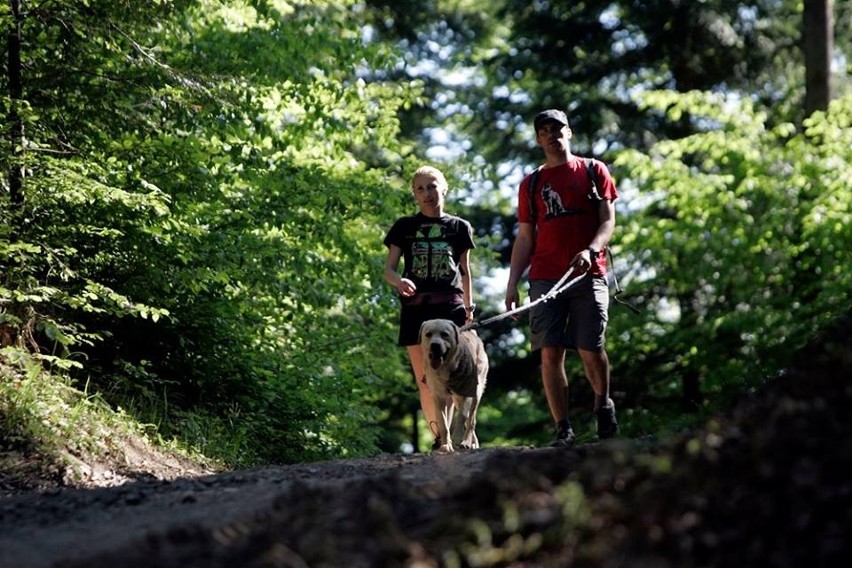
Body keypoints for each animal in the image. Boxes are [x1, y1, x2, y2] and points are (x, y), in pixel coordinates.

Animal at [418, 320, 490, 452]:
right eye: (428, 334)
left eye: (445, 334)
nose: (435, 345)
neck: (445, 368)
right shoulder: (439, 396)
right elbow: (443, 423)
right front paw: (446, 445)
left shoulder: (468, 393)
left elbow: (462, 417)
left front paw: (457, 439)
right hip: (456, 399)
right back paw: (472, 443)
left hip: (476, 393)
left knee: (471, 420)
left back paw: (467, 442)